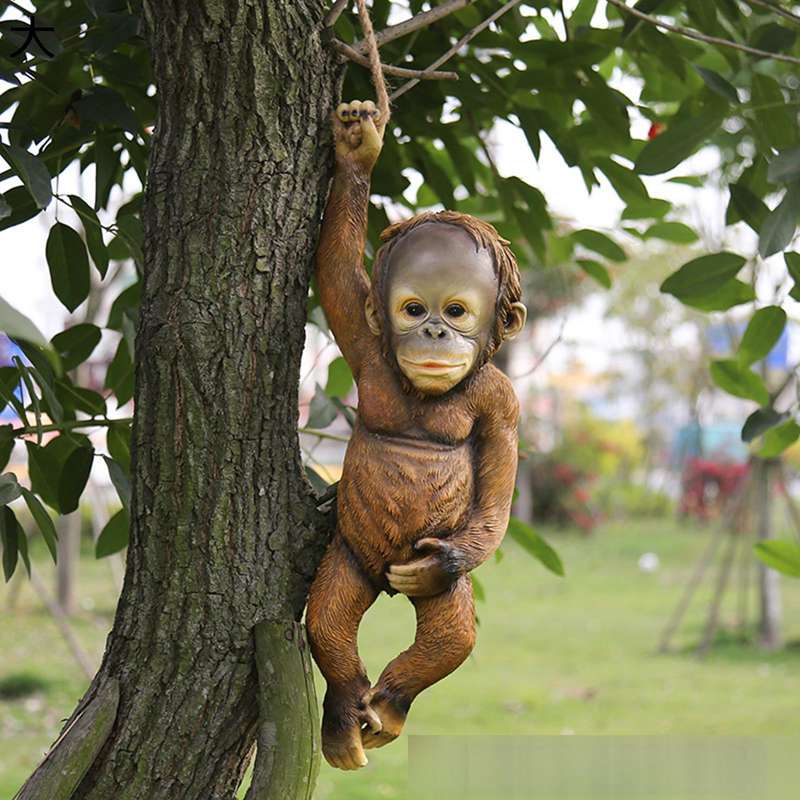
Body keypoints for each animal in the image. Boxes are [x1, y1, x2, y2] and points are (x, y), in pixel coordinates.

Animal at [306, 99, 527, 771]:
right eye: (412, 308)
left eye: (455, 310)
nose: (433, 331)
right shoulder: (364, 345)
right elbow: (336, 274)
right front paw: (358, 147)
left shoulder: (503, 402)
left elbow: (497, 497)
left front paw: (444, 563)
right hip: (351, 555)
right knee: (327, 619)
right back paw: (347, 717)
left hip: (419, 578)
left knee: (451, 635)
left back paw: (389, 706)